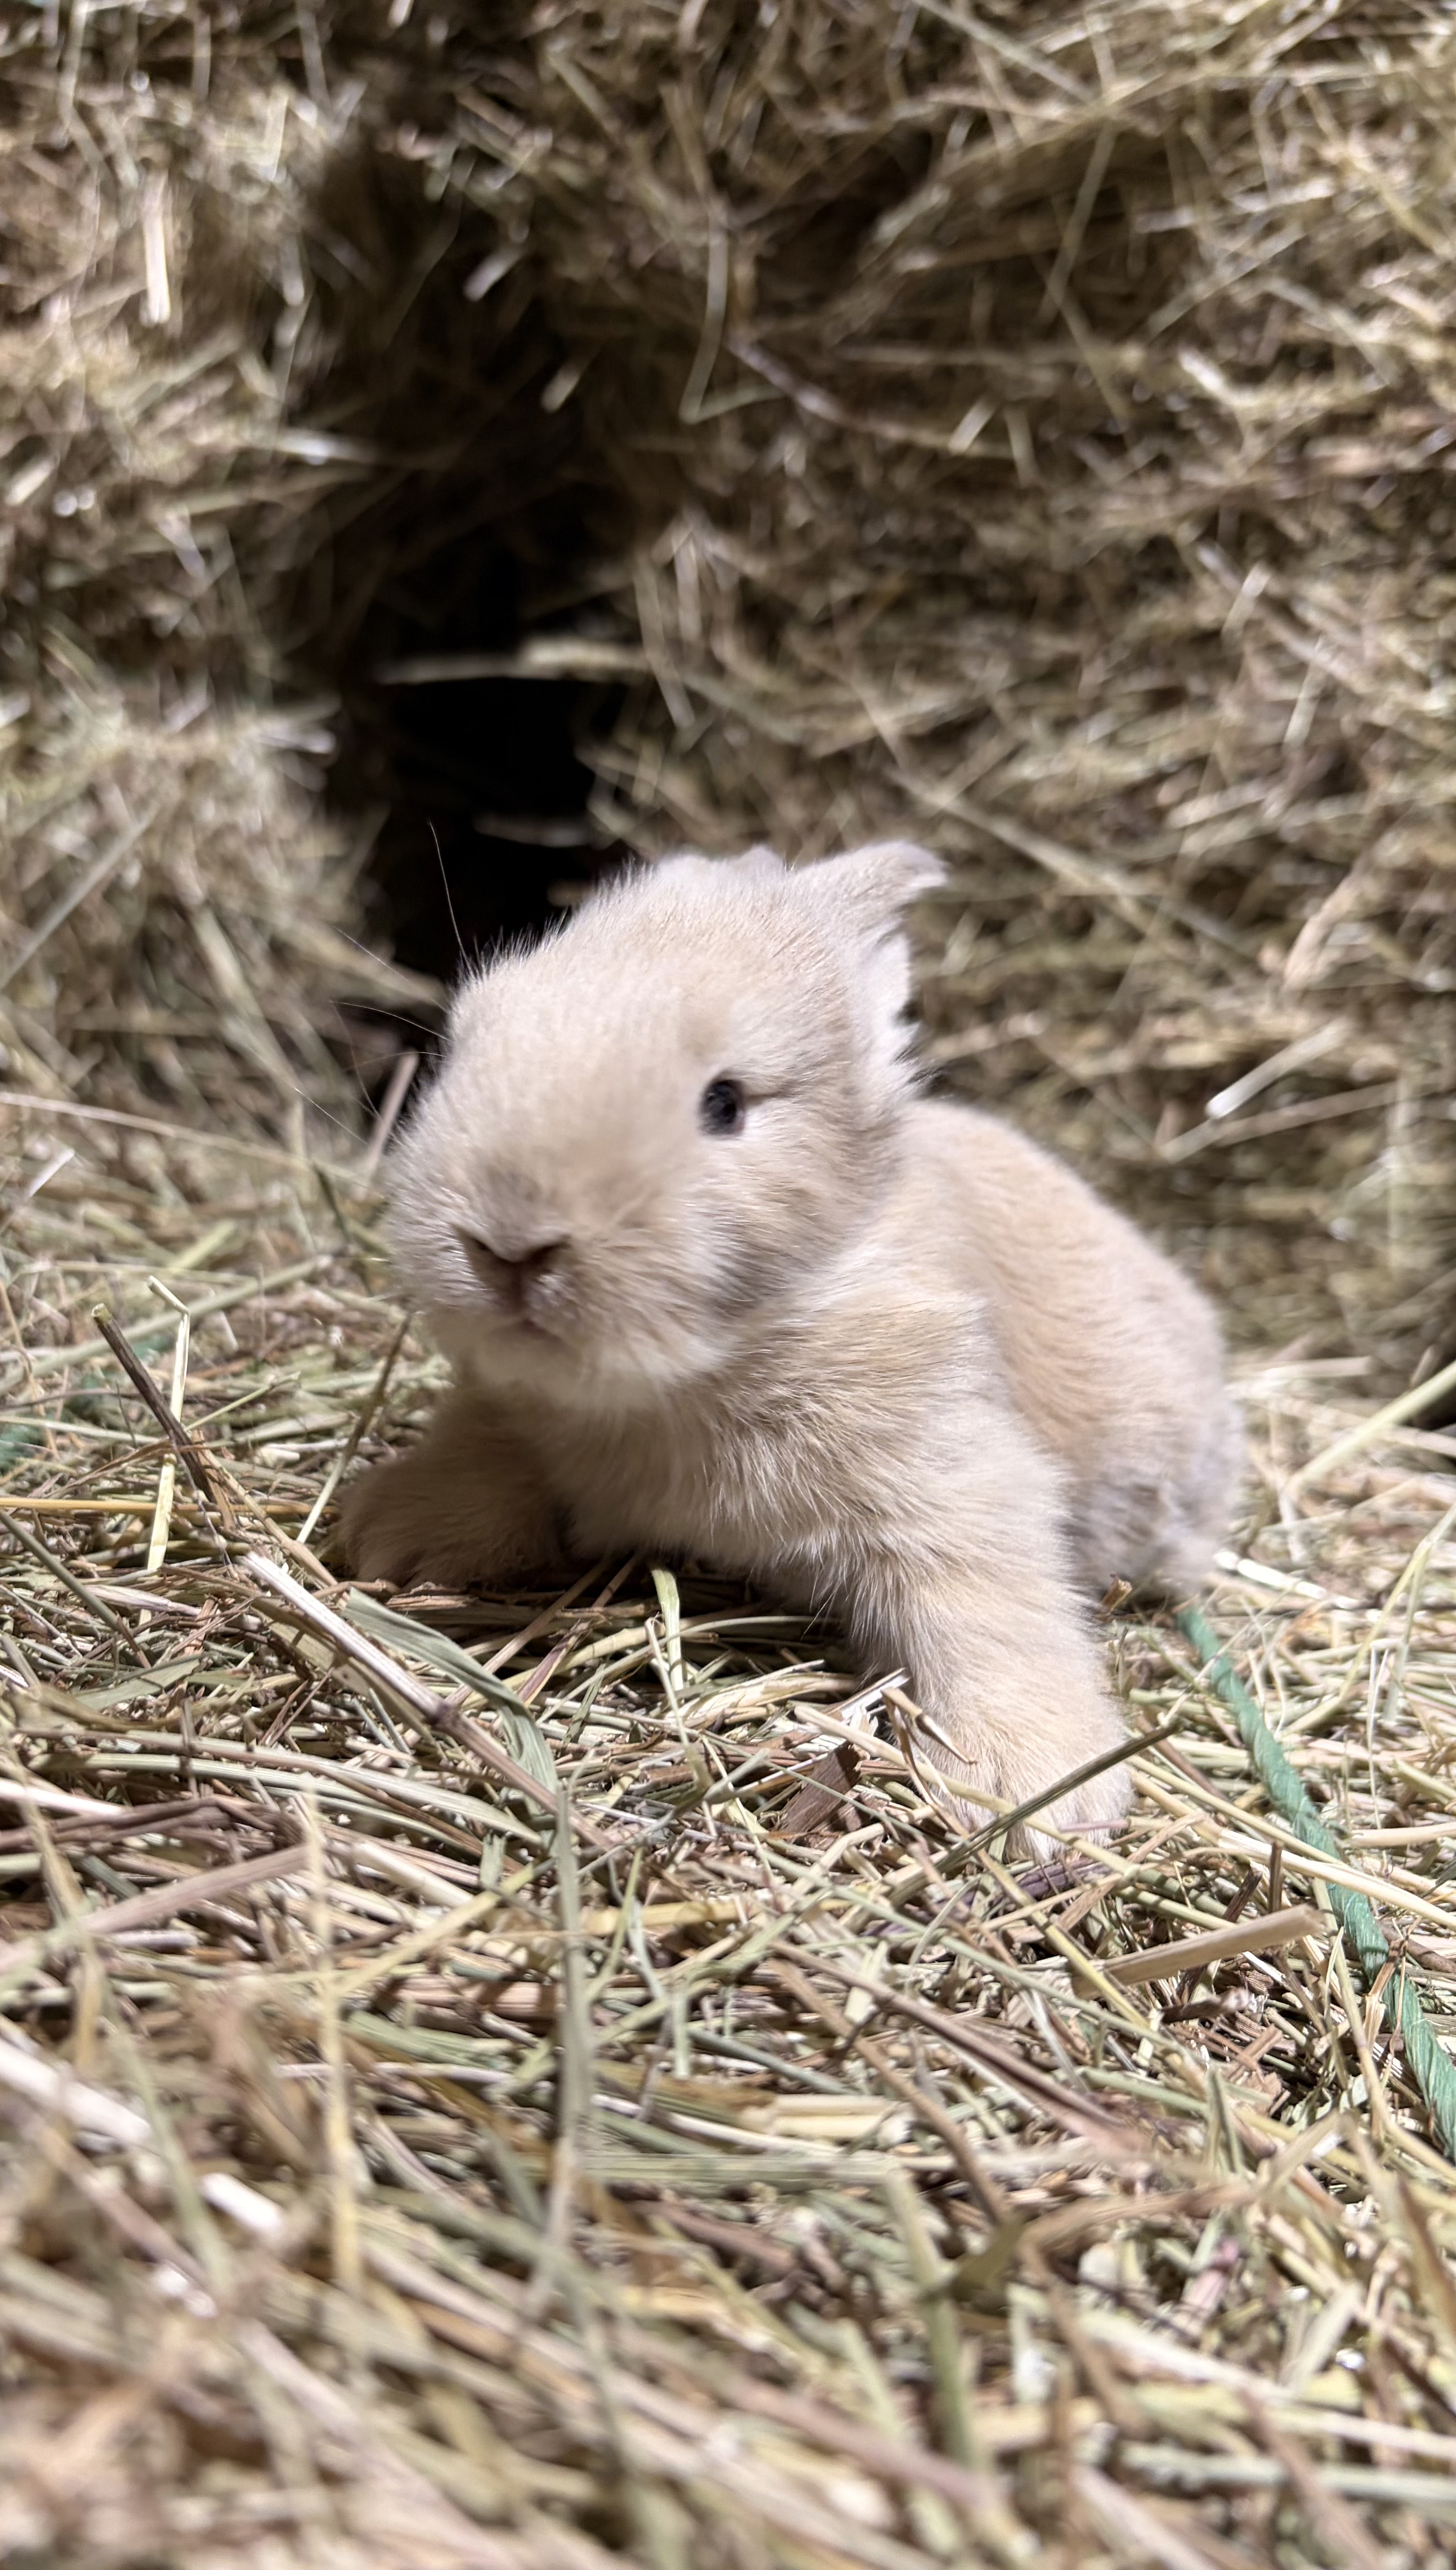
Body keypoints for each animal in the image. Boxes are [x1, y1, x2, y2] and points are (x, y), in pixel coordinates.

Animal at [340, 841, 1240, 1853]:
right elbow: (484, 1455)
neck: (681, 1380)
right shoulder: (507, 1413)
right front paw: (388, 1533)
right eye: (461, 1048)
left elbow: (985, 1610)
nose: (507, 1245)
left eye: (725, 1103)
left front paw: (1035, 1791)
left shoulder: (957, 1485)